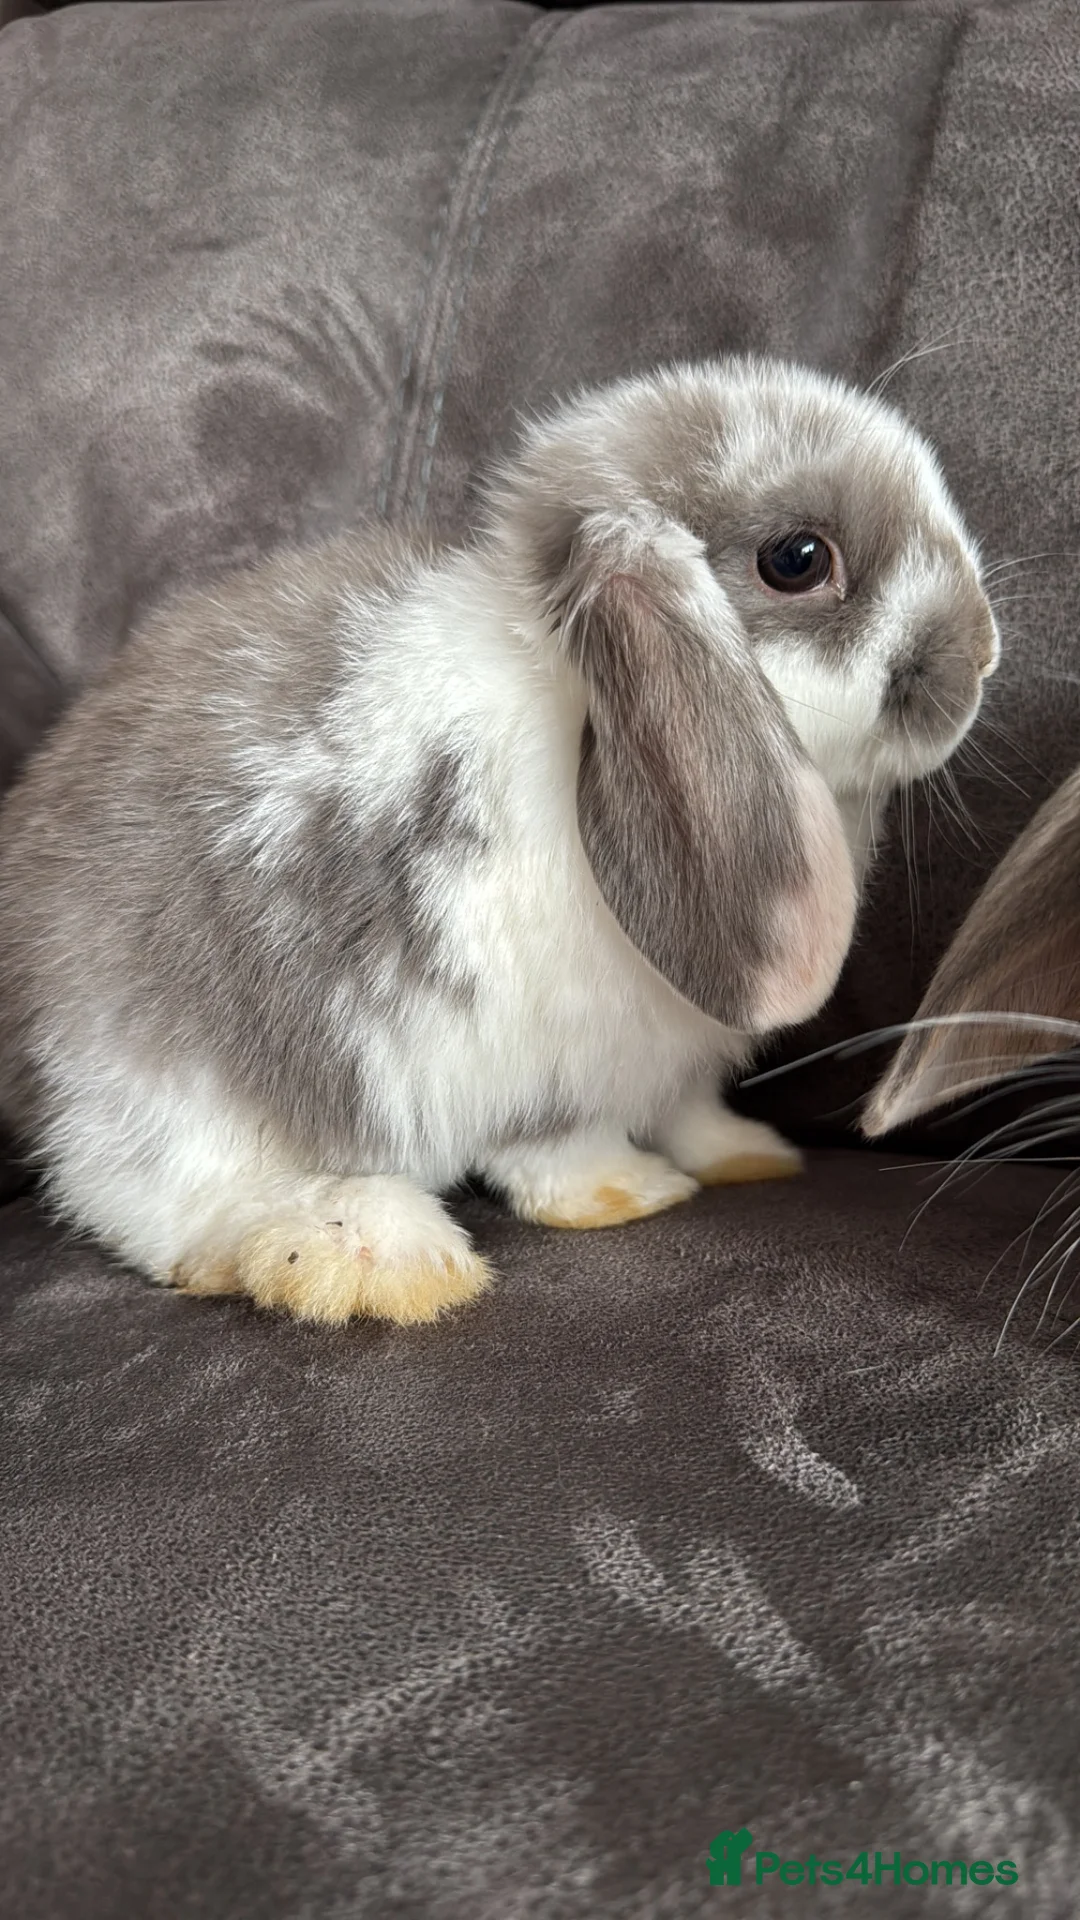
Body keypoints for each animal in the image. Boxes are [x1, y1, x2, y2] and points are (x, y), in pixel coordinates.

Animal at [0, 356, 1000, 1326]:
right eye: (797, 560)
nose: (984, 652)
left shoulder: (672, 1058)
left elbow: (690, 1110)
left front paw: (745, 1154)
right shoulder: (545, 1058)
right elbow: (558, 1147)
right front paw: (630, 1193)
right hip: (163, 1083)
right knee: (157, 1205)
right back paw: (372, 1255)